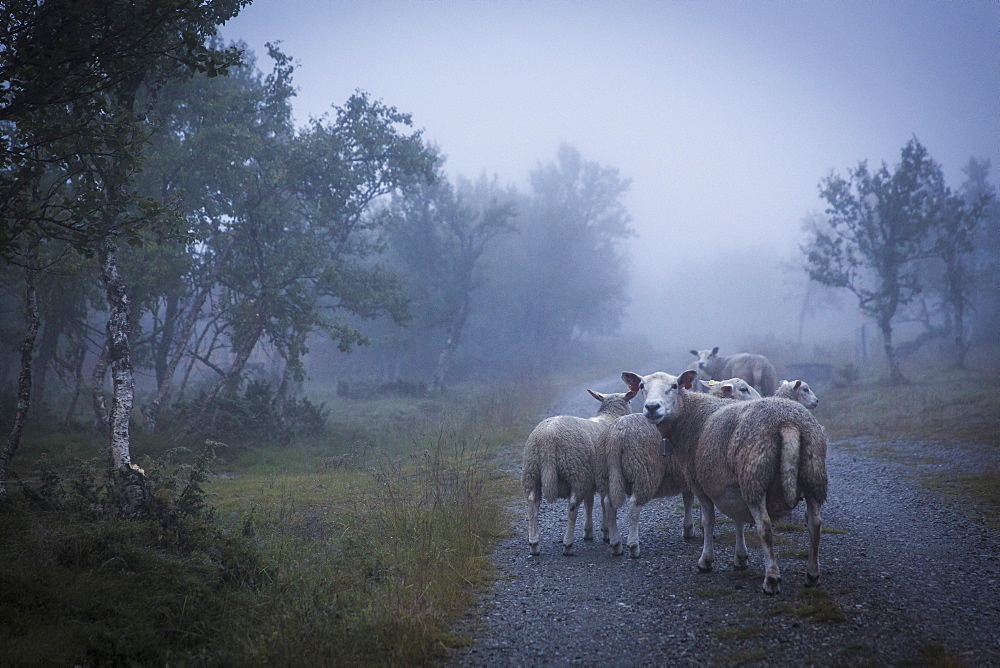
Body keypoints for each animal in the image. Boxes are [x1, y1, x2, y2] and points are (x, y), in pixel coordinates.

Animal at [520, 388, 636, 556]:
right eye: (630, 401)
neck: (609, 417)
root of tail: (548, 438)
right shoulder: (601, 479)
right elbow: (602, 503)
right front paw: (605, 531)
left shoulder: (592, 480)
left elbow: (590, 503)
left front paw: (589, 531)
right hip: (576, 472)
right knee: (573, 507)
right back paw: (567, 544)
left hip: (531, 471)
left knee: (532, 504)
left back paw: (534, 544)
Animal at [644, 368, 832, 596]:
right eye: (642, 387)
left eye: (674, 386)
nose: (652, 408)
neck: (692, 416)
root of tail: (787, 422)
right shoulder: (731, 485)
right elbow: (738, 519)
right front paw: (740, 558)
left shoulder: (701, 484)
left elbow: (709, 521)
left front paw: (706, 561)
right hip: (813, 474)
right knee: (815, 523)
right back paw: (812, 575)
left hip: (755, 476)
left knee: (765, 526)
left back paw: (771, 579)